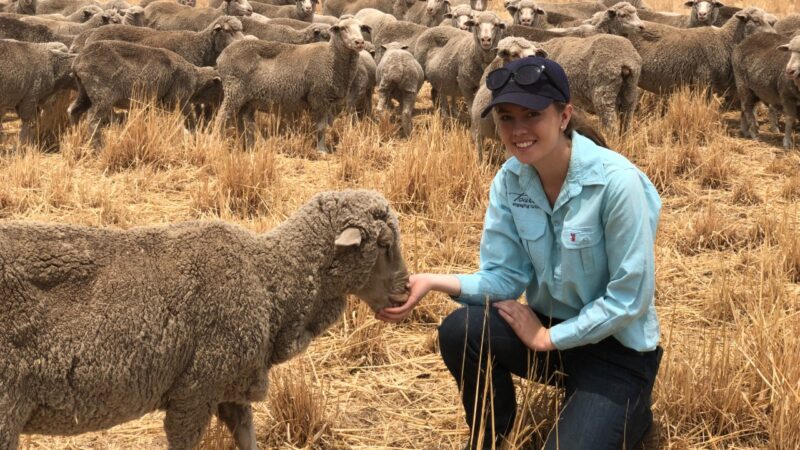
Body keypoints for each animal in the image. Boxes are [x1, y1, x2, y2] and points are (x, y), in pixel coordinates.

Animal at [0, 189, 412, 450]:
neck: (269, 280)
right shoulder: (195, 390)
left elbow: (248, 437)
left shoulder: (231, 386)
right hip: (7, 405)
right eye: (384, 244)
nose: (406, 292)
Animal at [66, 39, 220, 146]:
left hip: (84, 93)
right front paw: (194, 135)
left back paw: (76, 137)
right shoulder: (178, 100)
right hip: (102, 94)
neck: (195, 80)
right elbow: (190, 118)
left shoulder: (152, 104)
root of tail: (77, 62)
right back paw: (97, 146)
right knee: (92, 119)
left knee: (73, 110)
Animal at [214, 16, 374, 152]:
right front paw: (321, 150)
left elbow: (329, 124)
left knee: (245, 121)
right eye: (343, 28)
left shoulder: (328, 101)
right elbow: (321, 127)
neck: (331, 58)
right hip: (234, 90)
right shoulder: (318, 97)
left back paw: (249, 146)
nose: (359, 42)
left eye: (361, 28)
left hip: (248, 99)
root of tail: (221, 57)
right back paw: (218, 143)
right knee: (222, 117)